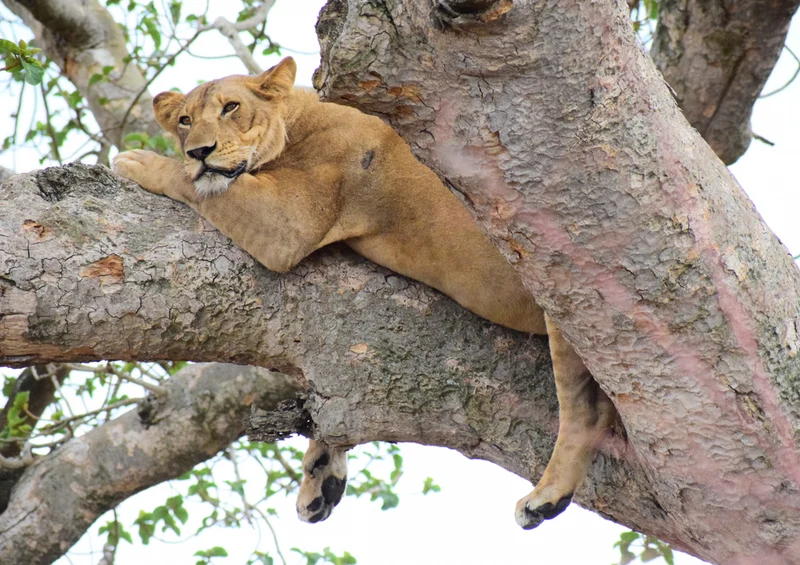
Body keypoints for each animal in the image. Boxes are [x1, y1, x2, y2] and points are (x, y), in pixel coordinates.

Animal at [112, 56, 617, 529]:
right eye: (184, 120)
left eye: (231, 107)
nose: (198, 150)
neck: (295, 121)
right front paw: (321, 472)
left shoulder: (287, 222)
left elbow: (198, 185)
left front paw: (139, 161)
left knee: (588, 414)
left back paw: (544, 498)